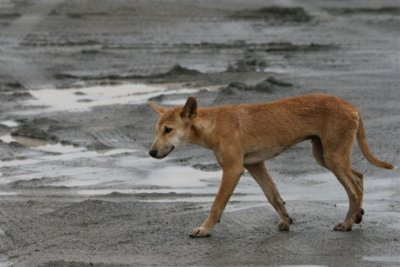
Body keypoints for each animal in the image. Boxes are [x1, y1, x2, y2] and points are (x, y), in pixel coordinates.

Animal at [148, 95, 394, 238]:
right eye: (157, 130)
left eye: (168, 130)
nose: (151, 152)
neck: (214, 124)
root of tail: (351, 106)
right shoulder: (256, 165)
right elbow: (273, 195)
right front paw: (286, 220)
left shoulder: (233, 170)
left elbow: (216, 205)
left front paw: (204, 229)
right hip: (324, 155)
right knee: (359, 178)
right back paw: (357, 214)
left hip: (333, 156)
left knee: (353, 188)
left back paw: (347, 223)